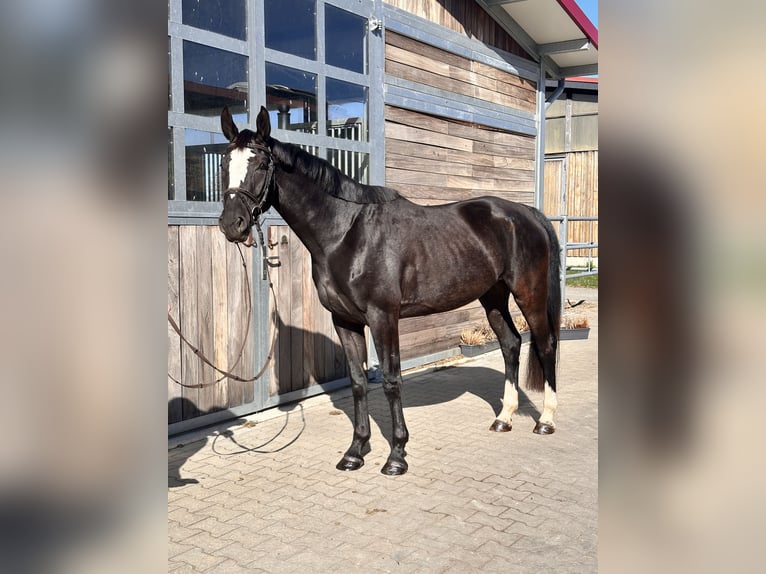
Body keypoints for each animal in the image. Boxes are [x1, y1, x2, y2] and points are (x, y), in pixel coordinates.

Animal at [218, 106, 561, 476]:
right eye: (224, 164)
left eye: (260, 165)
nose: (231, 225)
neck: (346, 234)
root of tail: (526, 213)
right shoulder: (344, 320)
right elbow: (357, 382)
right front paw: (355, 452)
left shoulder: (383, 318)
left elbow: (391, 380)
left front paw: (396, 455)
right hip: (493, 296)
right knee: (510, 344)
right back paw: (503, 418)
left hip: (528, 293)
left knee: (545, 344)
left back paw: (546, 420)